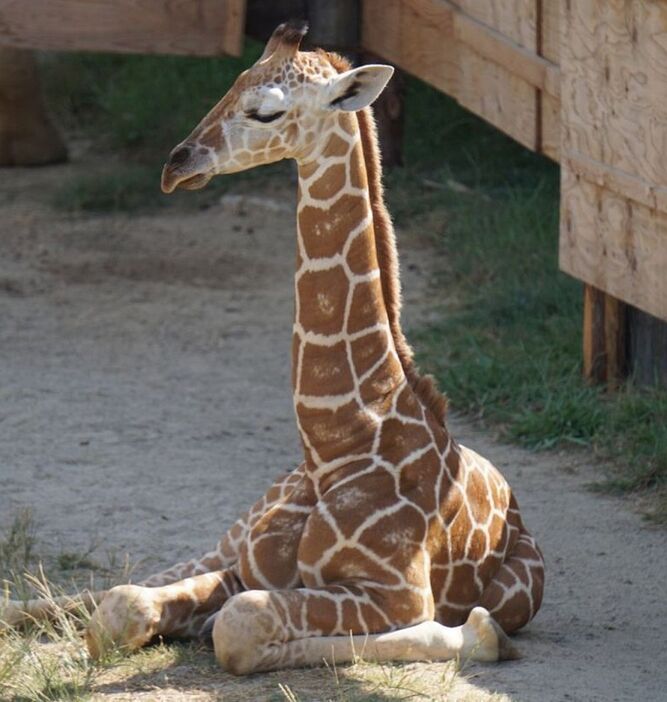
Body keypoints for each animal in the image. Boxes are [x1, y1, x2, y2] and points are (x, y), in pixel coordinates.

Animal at [0, 20, 544, 672]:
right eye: (230, 85)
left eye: (266, 111)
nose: (176, 165)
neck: (336, 441)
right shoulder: (243, 564)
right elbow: (124, 604)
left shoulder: (398, 594)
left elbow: (238, 626)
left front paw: (482, 634)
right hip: (227, 537)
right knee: (102, 589)